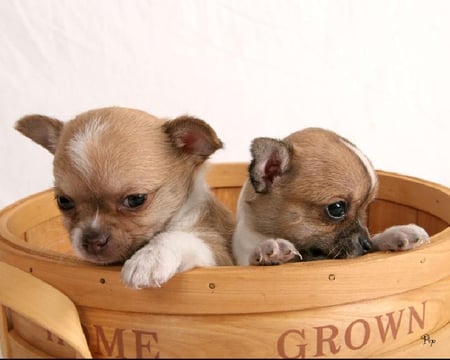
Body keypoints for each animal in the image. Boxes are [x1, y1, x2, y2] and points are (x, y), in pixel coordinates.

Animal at [15, 106, 234, 286]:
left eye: (136, 199)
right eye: (64, 201)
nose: (93, 240)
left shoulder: (220, 255)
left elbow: (177, 236)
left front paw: (149, 258)